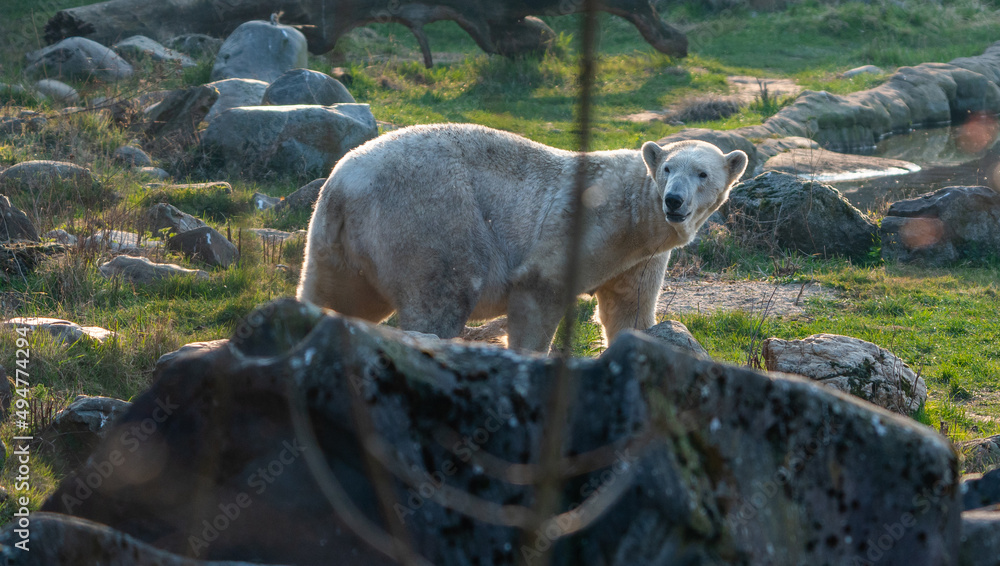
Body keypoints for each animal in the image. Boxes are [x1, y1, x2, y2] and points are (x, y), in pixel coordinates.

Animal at [297, 123, 748, 352]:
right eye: (668, 169)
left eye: (702, 173)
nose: (673, 200)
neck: (636, 213)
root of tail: (342, 182)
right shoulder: (586, 220)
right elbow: (539, 287)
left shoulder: (640, 257)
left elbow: (628, 309)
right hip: (429, 217)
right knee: (442, 293)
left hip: (333, 242)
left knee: (335, 294)